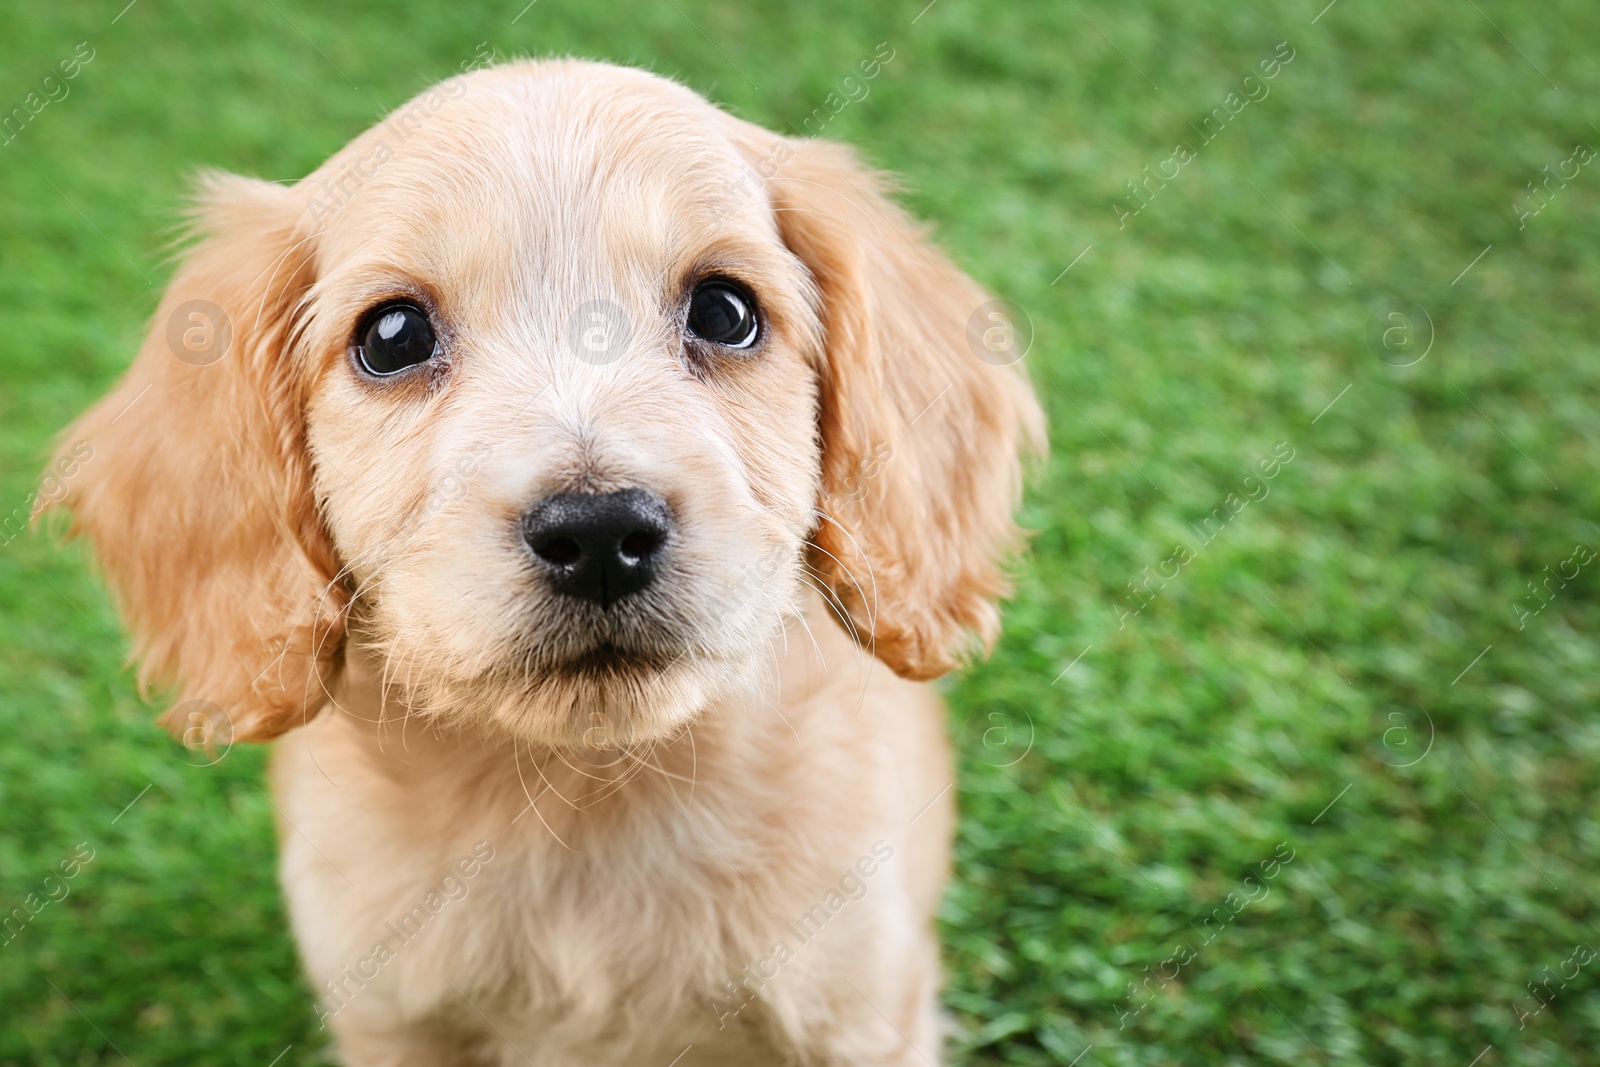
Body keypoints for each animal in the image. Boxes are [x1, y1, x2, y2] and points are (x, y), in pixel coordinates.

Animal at [56, 60, 1043, 1067]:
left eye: (725, 312)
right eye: (392, 336)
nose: (600, 535)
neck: (585, 801)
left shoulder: (865, 1009)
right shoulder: (392, 1021)